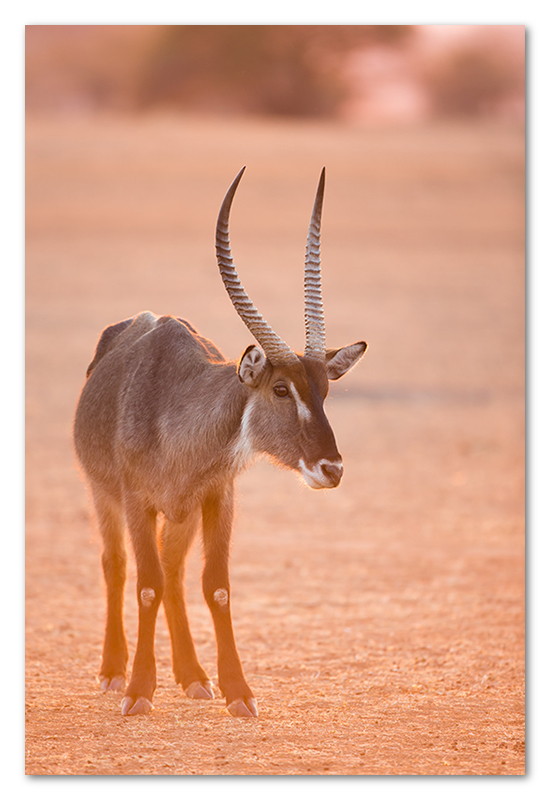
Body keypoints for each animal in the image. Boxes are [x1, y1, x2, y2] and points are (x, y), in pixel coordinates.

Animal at [72, 166, 366, 716]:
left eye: (325, 390)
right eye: (280, 388)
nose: (331, 469)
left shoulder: (217, 498)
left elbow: (217, 587)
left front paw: (237, 691)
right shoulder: (136, 501)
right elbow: (145, 586)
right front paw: (139, 691)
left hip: (182, 515)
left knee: (174, 574)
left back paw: (191, 675)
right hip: (104, 496)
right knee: (117, 567)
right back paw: (114, 671)